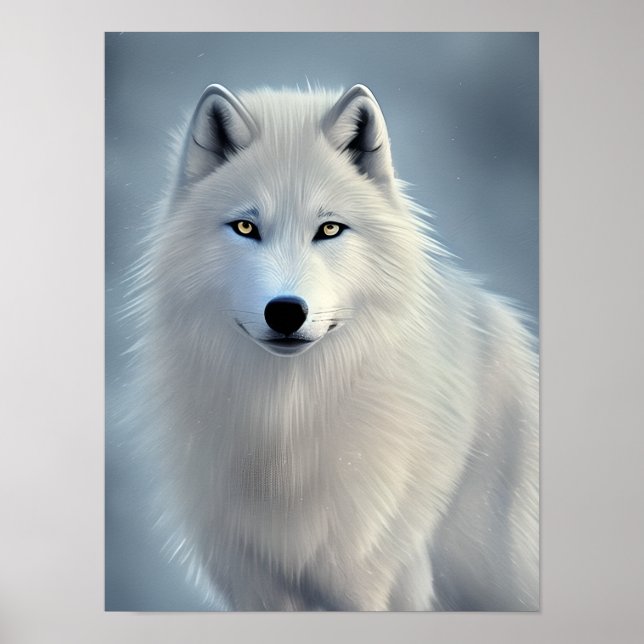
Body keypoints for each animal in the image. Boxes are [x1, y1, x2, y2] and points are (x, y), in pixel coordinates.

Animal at [130, 84, 539, 611]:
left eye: (328, 229)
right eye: (245, 227)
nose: (285, 312)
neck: (285, 423)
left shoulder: (371, 583)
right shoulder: (252, 585)